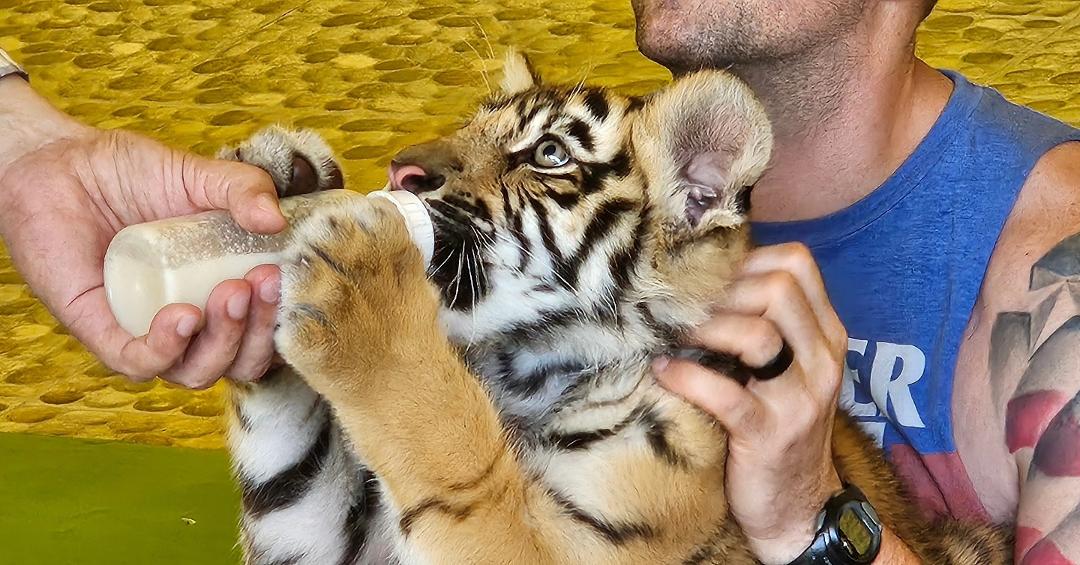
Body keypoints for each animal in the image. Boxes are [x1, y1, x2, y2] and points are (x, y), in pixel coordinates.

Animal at [219, 50, 1011, 564]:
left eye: (548, 155)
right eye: (470, 124)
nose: (399, 170)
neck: (520, 370)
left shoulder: (580, 539)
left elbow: (448, 445)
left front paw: (364, 285)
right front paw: (282, 174)